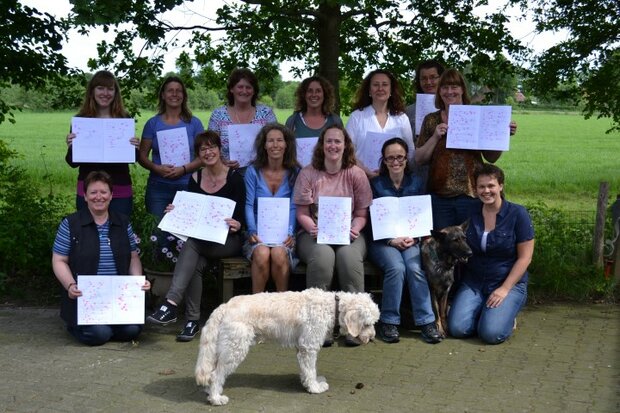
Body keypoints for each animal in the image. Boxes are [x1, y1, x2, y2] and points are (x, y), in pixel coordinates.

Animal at [195, 288, 378, 404]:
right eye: (367, 324)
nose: (372, 337)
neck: (332, 308)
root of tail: (224, 306)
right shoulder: (309, 347)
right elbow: (310, 369)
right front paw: (315, 387)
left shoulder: (302, 348)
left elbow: (306, 370)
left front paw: (309, 383)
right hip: (235, 348)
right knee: (215, 374)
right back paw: (216, 398)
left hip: (224, 347)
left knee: (211, 372)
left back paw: (210, 392)